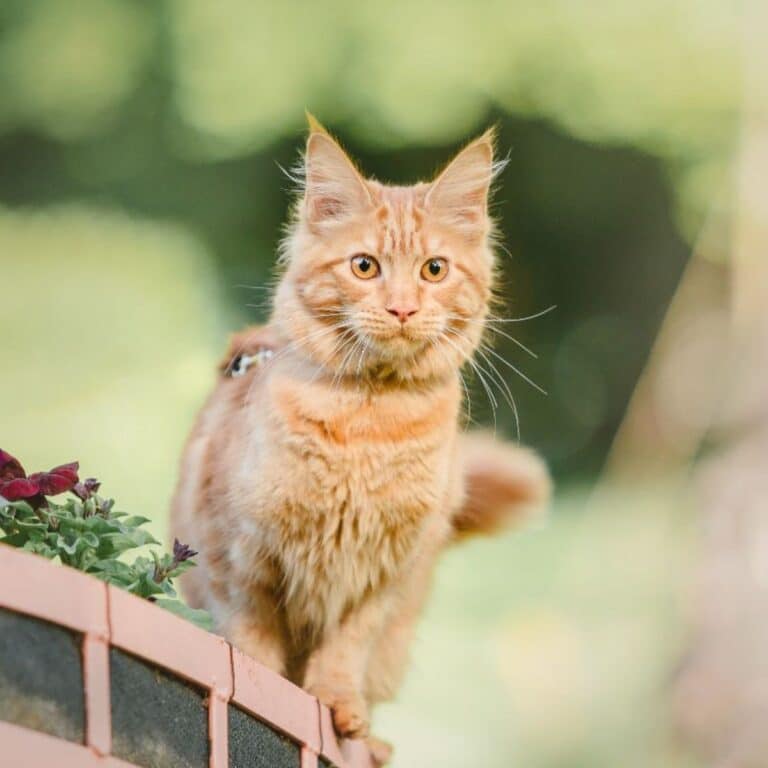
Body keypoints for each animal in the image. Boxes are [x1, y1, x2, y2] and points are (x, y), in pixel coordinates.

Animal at [171, 115, 548, 760]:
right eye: (364, 266)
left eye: (434, 270)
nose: (401, 309)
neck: (368, 424)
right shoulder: (239, 556)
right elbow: (254, 641)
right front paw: (262, 692)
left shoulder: (384, 574)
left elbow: (345, 650)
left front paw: (338, 706)